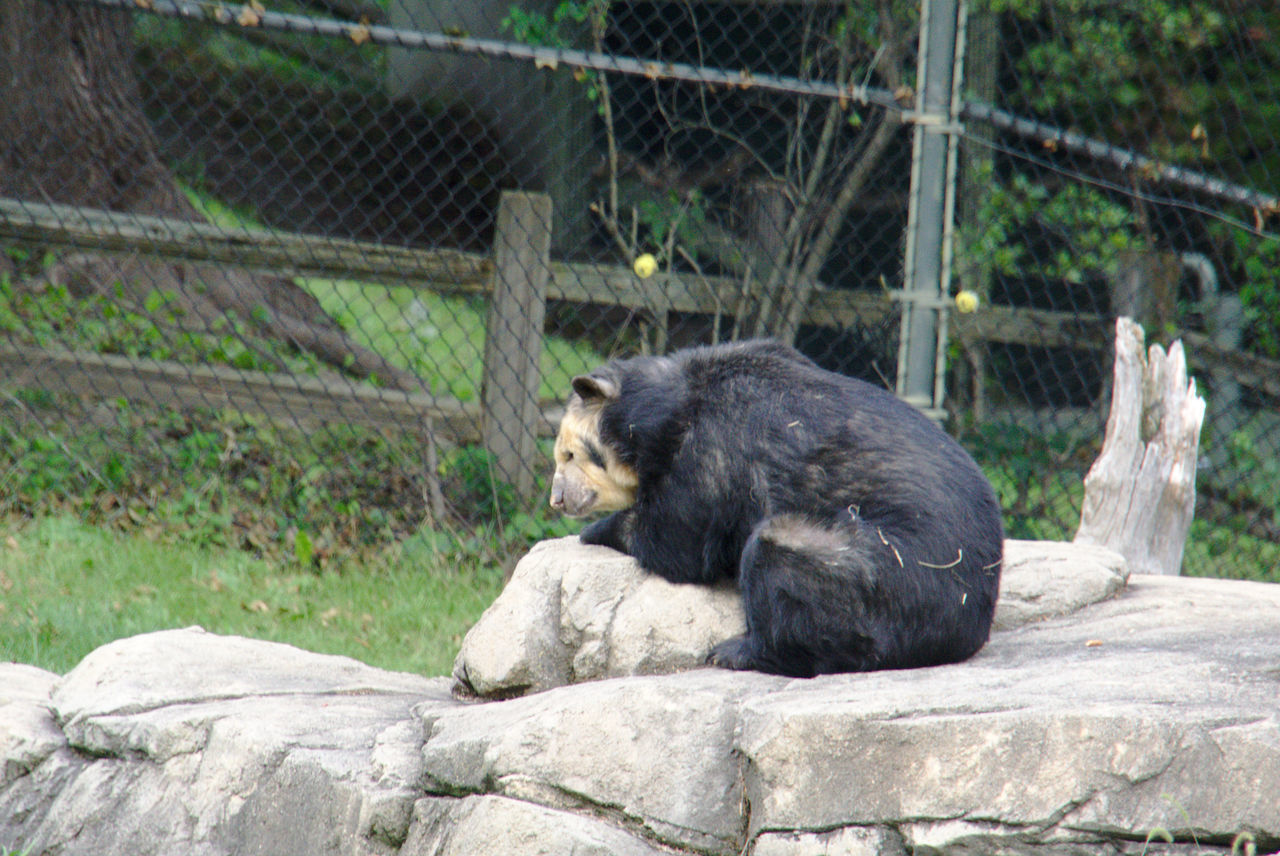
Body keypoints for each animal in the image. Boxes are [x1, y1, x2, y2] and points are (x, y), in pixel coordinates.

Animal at [545, 337, 1003, 675]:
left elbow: (677, 542)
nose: (557, 499)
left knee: (780, 555)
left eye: (568, 455)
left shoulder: (709, 449)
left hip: (890, 577)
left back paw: (737, 651)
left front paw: (595, 530)